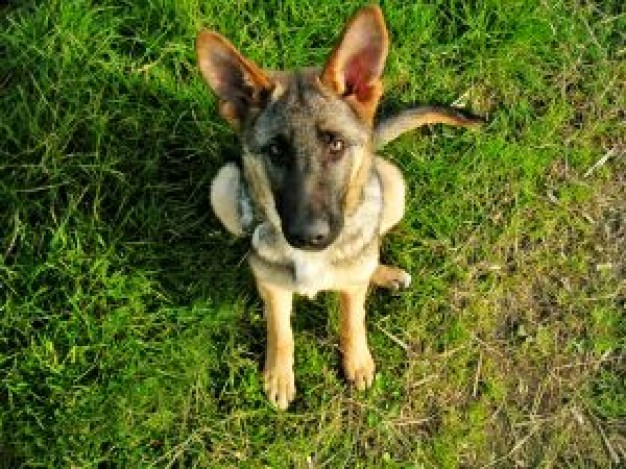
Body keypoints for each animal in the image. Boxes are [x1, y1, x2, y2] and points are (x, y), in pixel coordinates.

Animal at [197, 5, 480, 408]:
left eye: (335, 144)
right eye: (276, 150)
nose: (309, 237)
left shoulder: (349, 289)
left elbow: (352, 320)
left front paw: (357, 362)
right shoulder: (275, 289)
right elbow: (280, 330)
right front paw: (279, 376)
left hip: (394, 186)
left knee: (367, 255)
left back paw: (381, 272)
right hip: (222, 186)